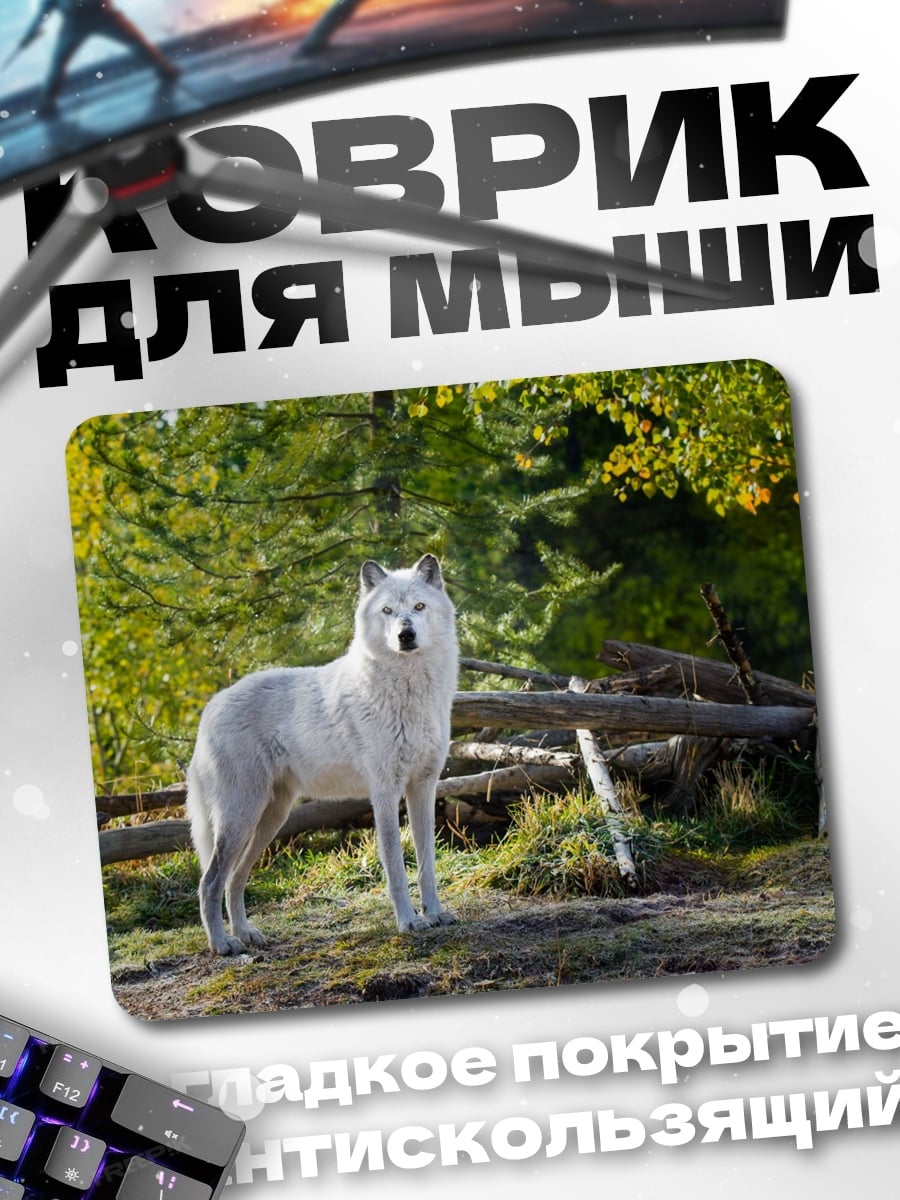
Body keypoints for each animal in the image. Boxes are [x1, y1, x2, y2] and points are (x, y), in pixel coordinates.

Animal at [187, 554, 459, 955]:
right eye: (388, 610)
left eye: (419, 607)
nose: (405, 635)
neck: (409, 693)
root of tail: (210, 708)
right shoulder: (384, 793)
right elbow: (396, 867)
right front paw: (408, 922)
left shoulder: (423, 788)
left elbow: (427, 864)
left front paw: (436, 914)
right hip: (241, 817)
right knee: (210, 882)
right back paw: (223, 944)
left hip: (269, 819)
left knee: (234, 879)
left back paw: (246, 935)